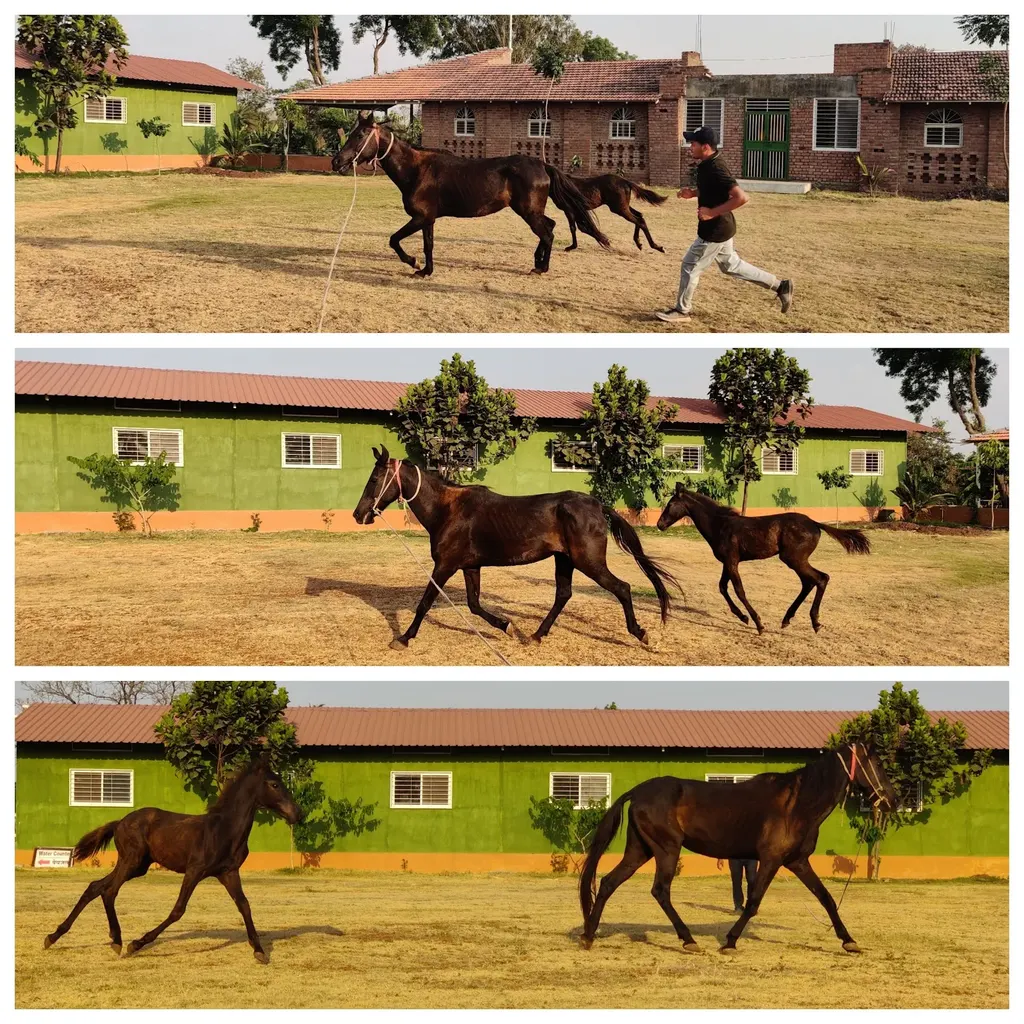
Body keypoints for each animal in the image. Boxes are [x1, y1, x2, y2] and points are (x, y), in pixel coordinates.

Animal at [43, 758, 303, 963]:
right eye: (275, 784)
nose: (297, 814)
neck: (224, 830)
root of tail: (119, 822)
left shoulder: (228, 872)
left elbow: (244, 905)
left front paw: (259, 951)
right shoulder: (195, 870)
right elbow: (178, 910)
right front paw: (137, 943)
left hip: (138, 866)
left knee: (96, 887)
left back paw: (59, 936)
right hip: (131, 861)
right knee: (109, 891)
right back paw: (114, 940)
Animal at [333, 113, 609, 276]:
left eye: (360, 134)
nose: (336, 162)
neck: (416, 170)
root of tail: (542, 165)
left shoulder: (419, 218)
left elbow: (394, 240)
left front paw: (412, 262)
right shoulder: (428, 219)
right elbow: (428, 245)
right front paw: (426, 270)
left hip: (529, 212)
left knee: (548, 234)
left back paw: (542, 268)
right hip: (531, 211)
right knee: (549, 228)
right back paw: (538, 261)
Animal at [353, 445, 681, 650]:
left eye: (374, 478)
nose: (359, 514)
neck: (447, 510)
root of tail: (598, 505)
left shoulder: (444, 565)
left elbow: (424, 603)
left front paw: (403, 638)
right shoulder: (470, 566)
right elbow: (474, 605)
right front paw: (507, 627)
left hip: (588, 562)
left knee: (622, 588)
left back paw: (641, 634)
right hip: (564, 560)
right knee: (563, 594)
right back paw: (535, 635)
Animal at [579, 741, 897, 955]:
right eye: (878, 765)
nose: (893, 800)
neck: (796, 804)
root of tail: (638, 791)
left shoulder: (798, 862)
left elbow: (827, 899)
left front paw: (849, 941)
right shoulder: (770, 860)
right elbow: (753, 902)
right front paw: (730, 942)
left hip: (640, 851)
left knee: (608, 883)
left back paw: (589, 935)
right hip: (666, 849)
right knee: (660, 891)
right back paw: (688, 940)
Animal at [657, 484, 870, 634]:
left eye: (670, 504)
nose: (660, 524)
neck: (720, 524)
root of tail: (815, 523)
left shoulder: (732, 561)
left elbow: (739, 590)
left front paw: (758, 624)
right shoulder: (728, 562)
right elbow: (722, 587)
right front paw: (743, 617)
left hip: (793, 559)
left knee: (820, 579)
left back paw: (815, 622)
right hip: (795, 560)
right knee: (809, 582)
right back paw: (787, 619)